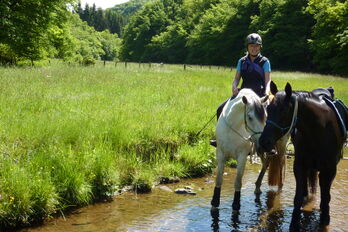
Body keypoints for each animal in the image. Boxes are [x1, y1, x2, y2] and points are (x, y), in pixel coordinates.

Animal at [258, 81, 346, 230]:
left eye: (283, 111)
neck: (320, 129)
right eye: (268, 109)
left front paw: (324, 220)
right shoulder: (300, 165)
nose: (264, 142)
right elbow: (298, 197)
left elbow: (326, 197)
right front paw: (294, 223)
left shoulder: (329, 170)